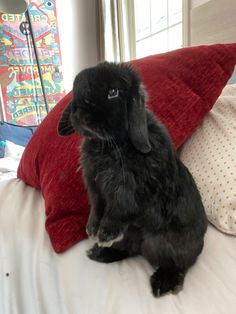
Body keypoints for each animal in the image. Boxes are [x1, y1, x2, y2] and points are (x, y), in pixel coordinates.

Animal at [58, 62, 207, 296]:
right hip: (133, 239)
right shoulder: (95, 189)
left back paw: (163, 283)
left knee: (179, 264)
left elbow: (118, 211)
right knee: (129, 250)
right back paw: (100, 253)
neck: (110, 145)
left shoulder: (129, 193)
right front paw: (92, 229)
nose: (80, 114)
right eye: (76, 90)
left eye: (113, 92)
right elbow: (97, 207)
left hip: (172, 246)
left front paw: (105, 234)